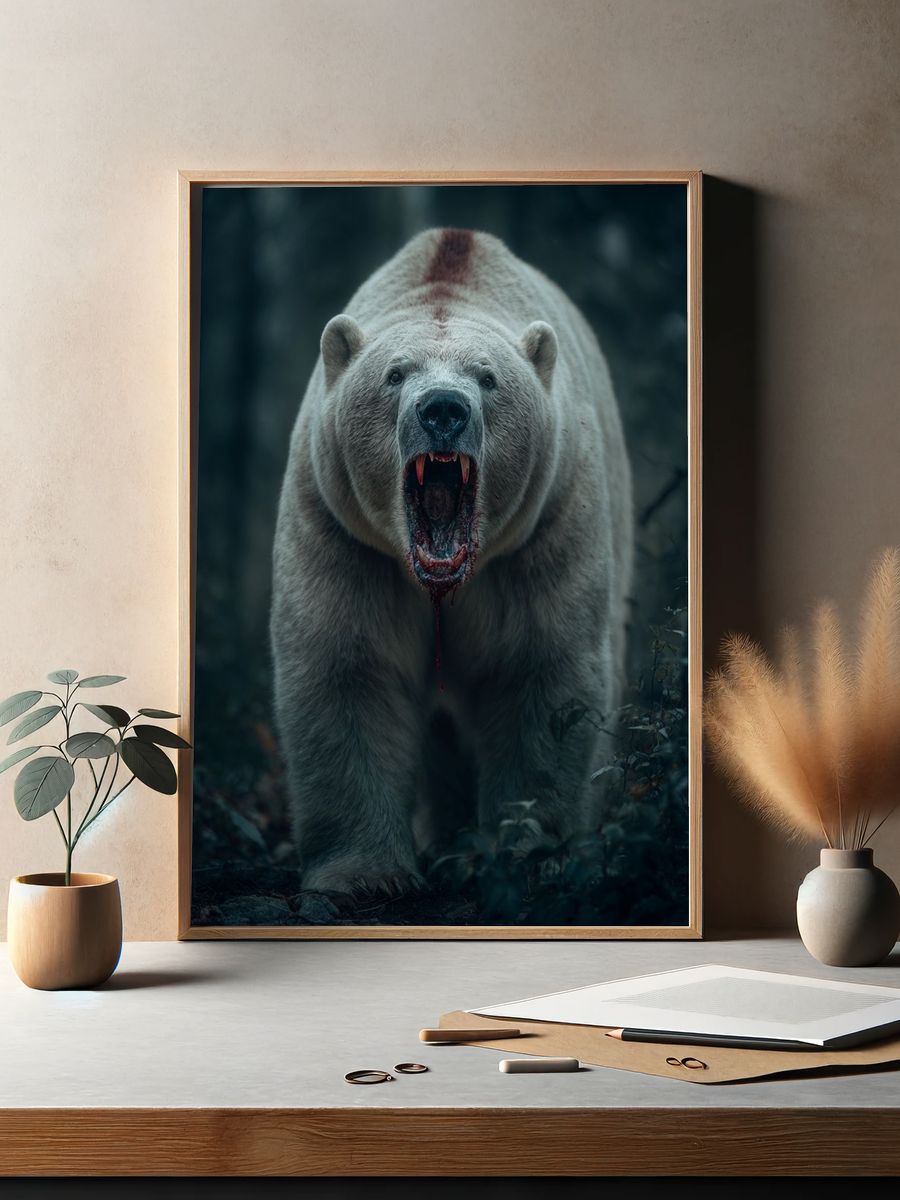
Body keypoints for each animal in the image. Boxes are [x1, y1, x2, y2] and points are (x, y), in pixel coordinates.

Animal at [270, 227, 633, 900]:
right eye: (394, 374)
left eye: (488, 378)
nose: (443, 409)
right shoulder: (343, 530)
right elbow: (348, 666)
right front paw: (365, 875)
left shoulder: (544, 527)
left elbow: (541, 669)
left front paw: (529, 851)